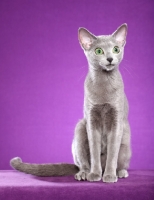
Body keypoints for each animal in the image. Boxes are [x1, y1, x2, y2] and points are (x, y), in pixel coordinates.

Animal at [10, 23, 131, 183]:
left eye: (116, 49)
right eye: (99, 51)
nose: (110, 58)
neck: (104, 83)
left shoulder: (117, 120)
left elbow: (112, 152)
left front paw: (109, 176)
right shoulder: (91, 120)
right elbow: (94, 149)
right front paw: (95, 174)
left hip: (126, 142)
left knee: (120, 160)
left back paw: (120, 172)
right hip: (80, 129)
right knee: (83, 164)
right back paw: (84, 174)